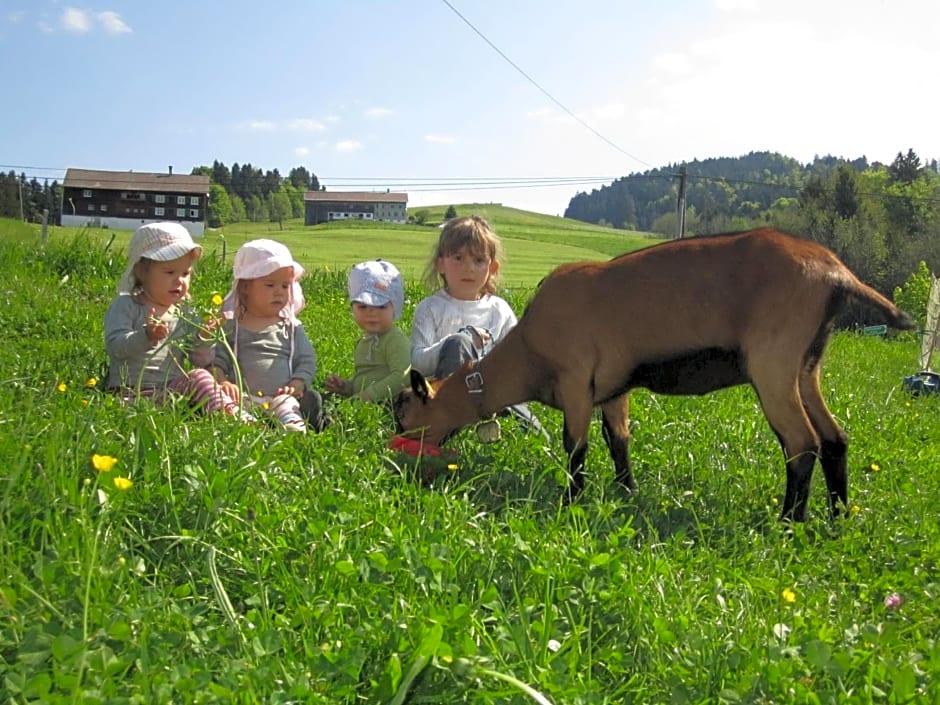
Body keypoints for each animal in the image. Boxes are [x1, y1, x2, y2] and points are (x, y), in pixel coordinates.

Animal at [392, 228, 916, 520]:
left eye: (403, 410)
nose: (397, 455)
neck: (527, 352)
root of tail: (834, 271)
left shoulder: (576, 379)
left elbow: (575, 446)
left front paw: (572, 500)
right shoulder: (612, 388)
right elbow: (618, 439)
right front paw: (627, 492)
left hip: (773, 362)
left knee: (801, 442)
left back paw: (790, 523)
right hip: (806, 366)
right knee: (834, 438)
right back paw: (838, 519)